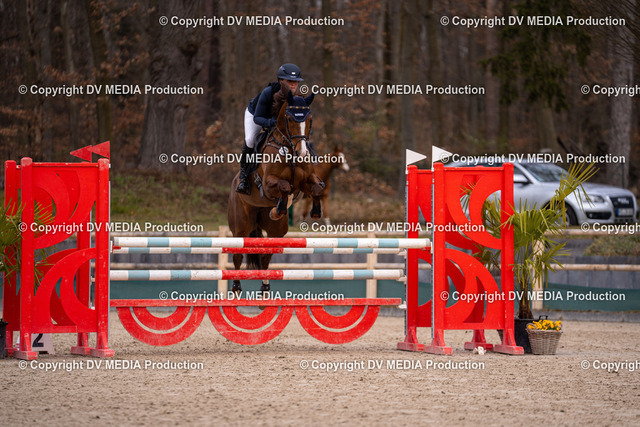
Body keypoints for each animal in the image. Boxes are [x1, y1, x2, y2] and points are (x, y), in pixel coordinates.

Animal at [228, 91, 325, 295]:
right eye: (289, 118)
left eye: (309, 119)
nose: (301, 152)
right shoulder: (267, 183)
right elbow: (284, 186)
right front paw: (279, 207)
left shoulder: (305, 182)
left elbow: (317, 188)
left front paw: (315, 211)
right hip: (240, 226)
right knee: (238, 256)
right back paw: (237, 287)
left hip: (276, 231)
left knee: (265, 257)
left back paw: (265, 288)